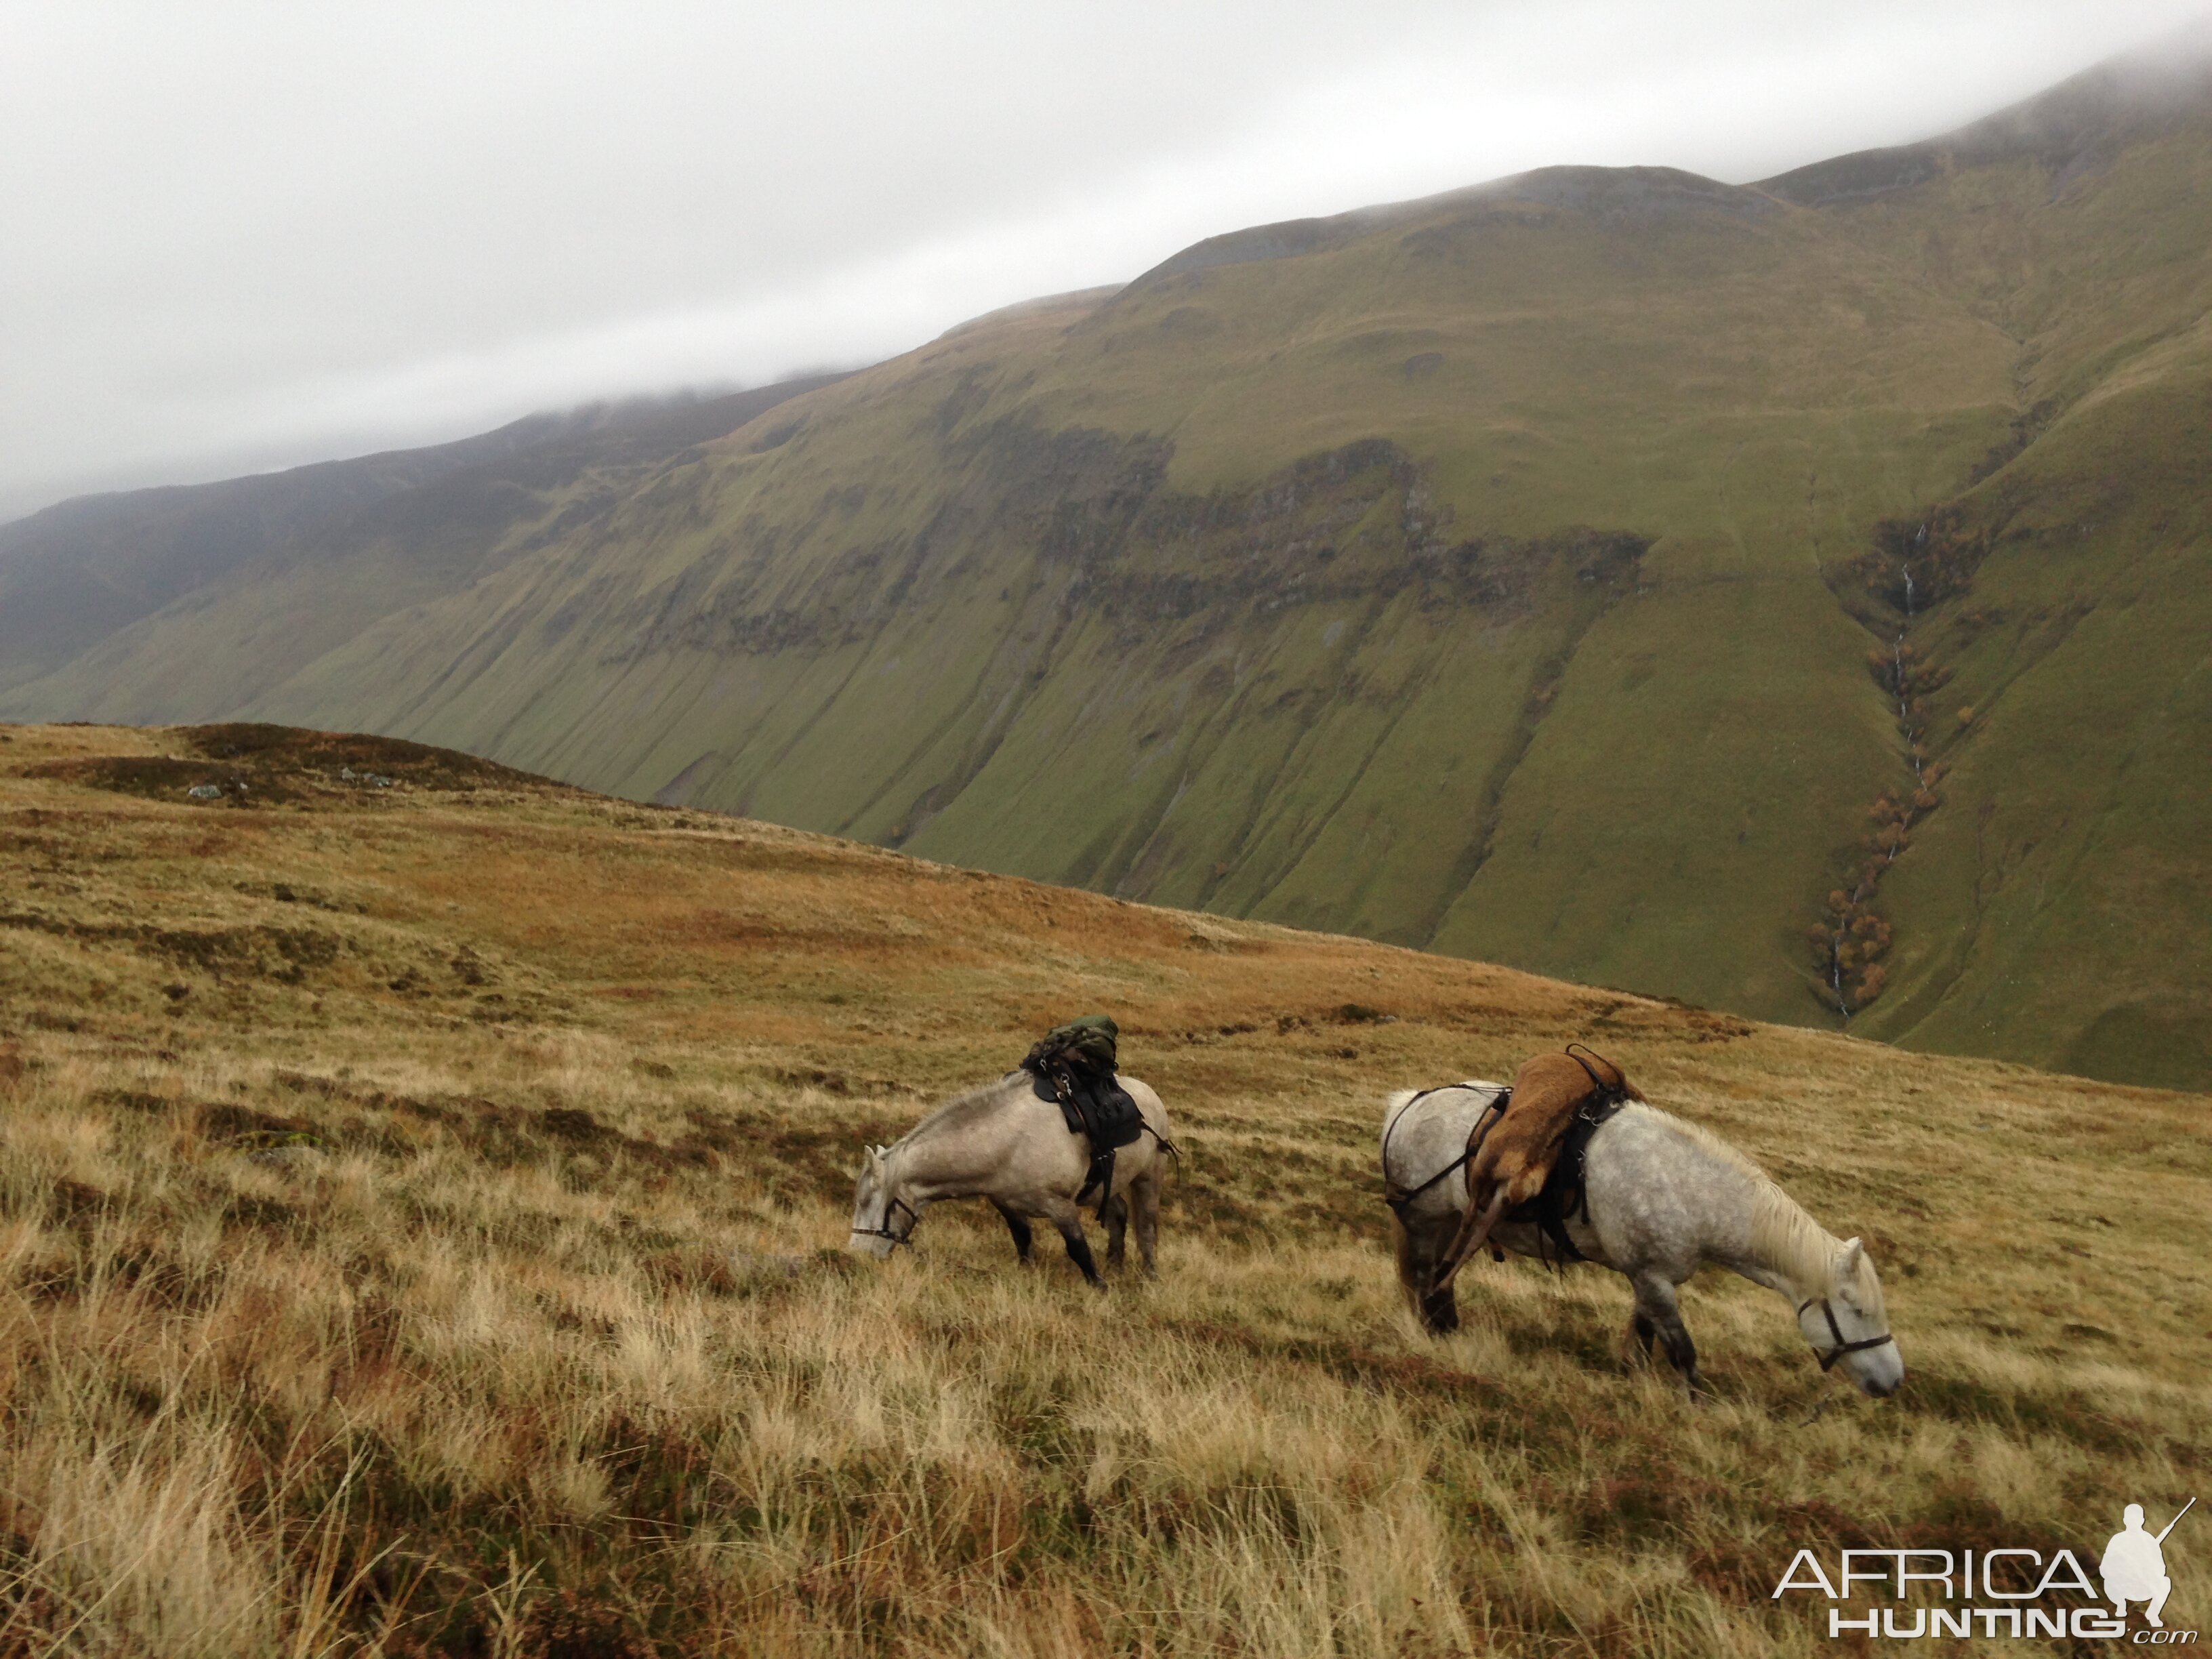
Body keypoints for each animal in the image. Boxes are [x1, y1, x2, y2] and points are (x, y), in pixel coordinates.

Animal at [844, 1070, 1176, 1292]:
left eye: (871, 1202)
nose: (856, 1257)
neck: (1009, 1142)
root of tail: (1149, 1093)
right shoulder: (1009, 1206)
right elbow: (1024, 1245)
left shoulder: (1061, 1207)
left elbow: (1079, 1250)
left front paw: (1100, 1286)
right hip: (1106, 1187)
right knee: (1118, 1214)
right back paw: (1116, 1263)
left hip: (1149, 1177)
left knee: (1146, 1229)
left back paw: (1150, 1276)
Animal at [1380, 1084, 1902, 1397]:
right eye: (1858, 1310)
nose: (1894, 1381)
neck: (1691, 1192)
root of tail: (1407, 1103)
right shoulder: (1651, 1277)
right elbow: (1683, 1351)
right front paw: (1698, 1406)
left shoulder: (1649, 1278)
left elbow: (1647, 1337)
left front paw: (1634, 1379)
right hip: (1425, 1221)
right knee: (1424, 1278)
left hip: (1454, 1221)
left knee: (1442, 1279)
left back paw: (1448, 1330)